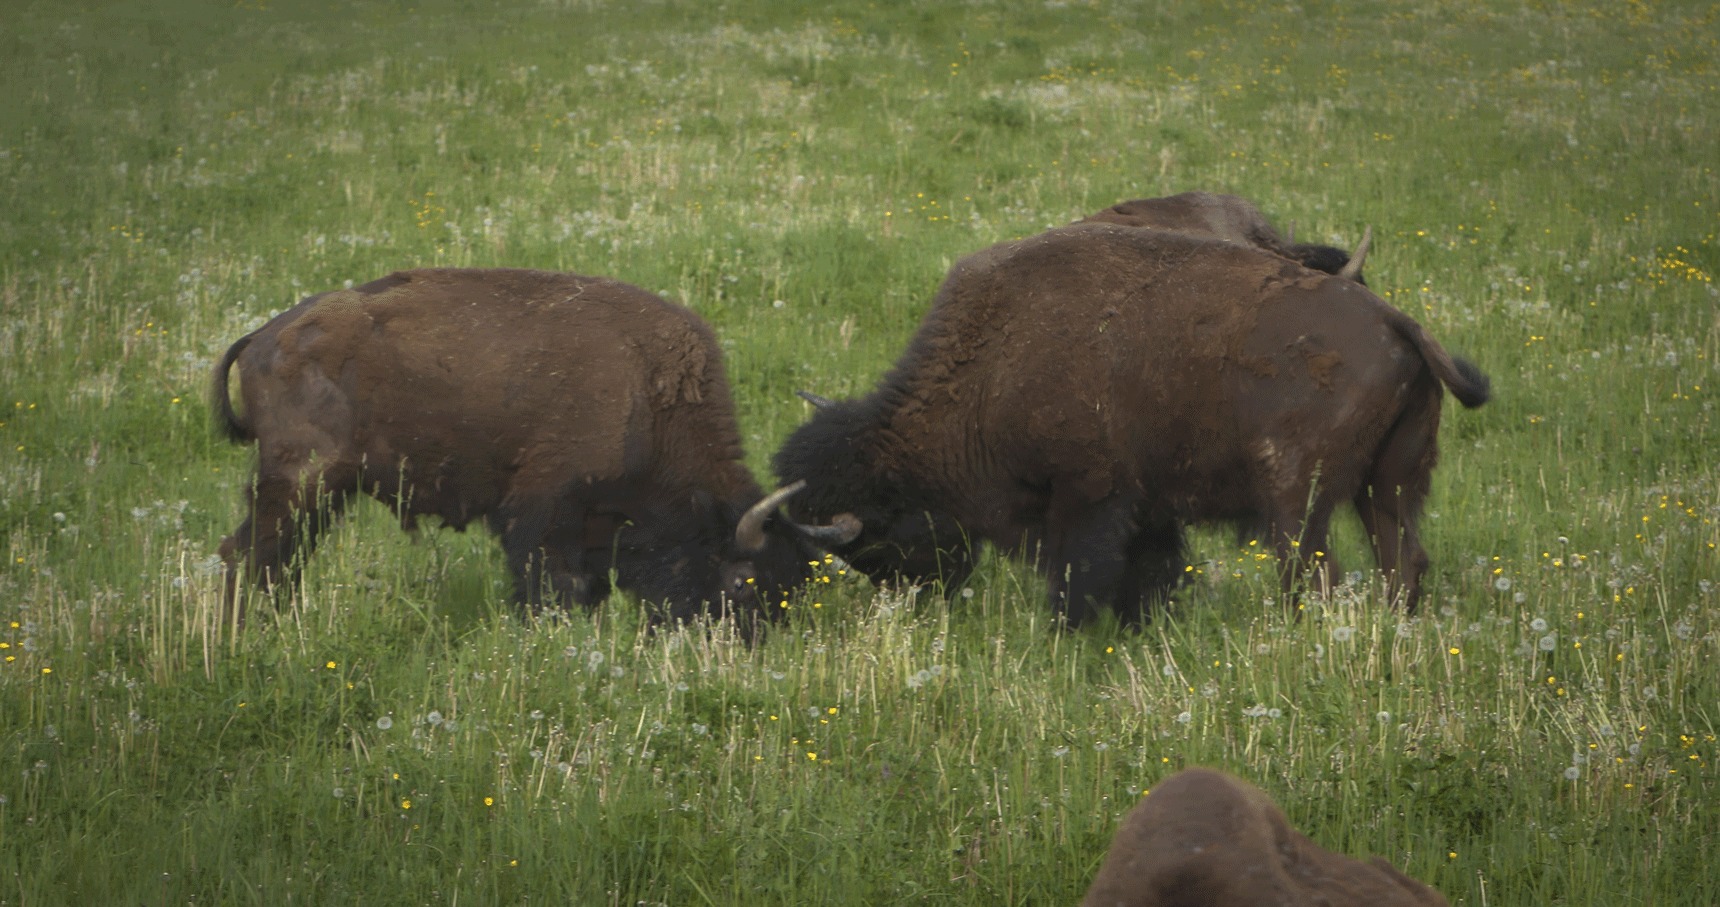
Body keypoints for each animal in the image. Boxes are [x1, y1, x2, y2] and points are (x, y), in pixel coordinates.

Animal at [212, 267, 856, 629]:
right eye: (743, 581)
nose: (750, 643)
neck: (647, 393)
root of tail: (266, 335)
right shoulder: (541, 511)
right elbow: (551, 587)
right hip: (300, 481)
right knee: (251, 554)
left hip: (323, 493)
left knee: (277, 557)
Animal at [772, 224, 1489, 625]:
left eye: (876, 540)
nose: (917, 599)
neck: (990, 363)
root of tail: (1398, 321)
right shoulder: (1149, 509)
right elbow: (1151, 573)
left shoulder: (1088, 498)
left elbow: (1080, 577)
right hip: (1388, 485)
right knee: (1402, 560)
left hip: (1296, 497)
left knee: (1316, 571)